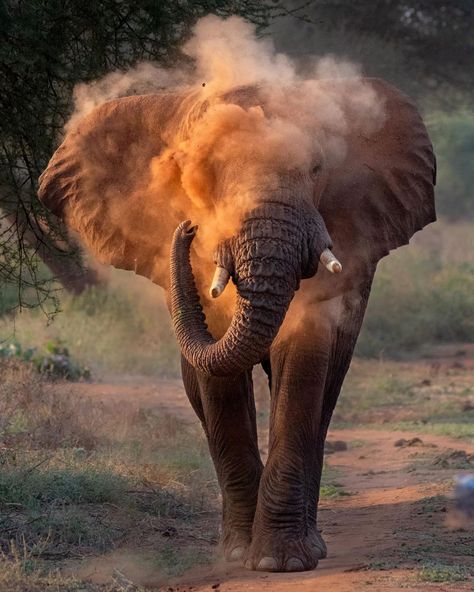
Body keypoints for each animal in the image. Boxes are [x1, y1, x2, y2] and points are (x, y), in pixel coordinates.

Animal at [39, 78, 436, 572]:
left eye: (316, 168)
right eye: (204, 176)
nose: (188, 228)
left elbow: (304, 360)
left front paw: (281, 562)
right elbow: (218, 379)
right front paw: (236, 555)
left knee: (326, 394)